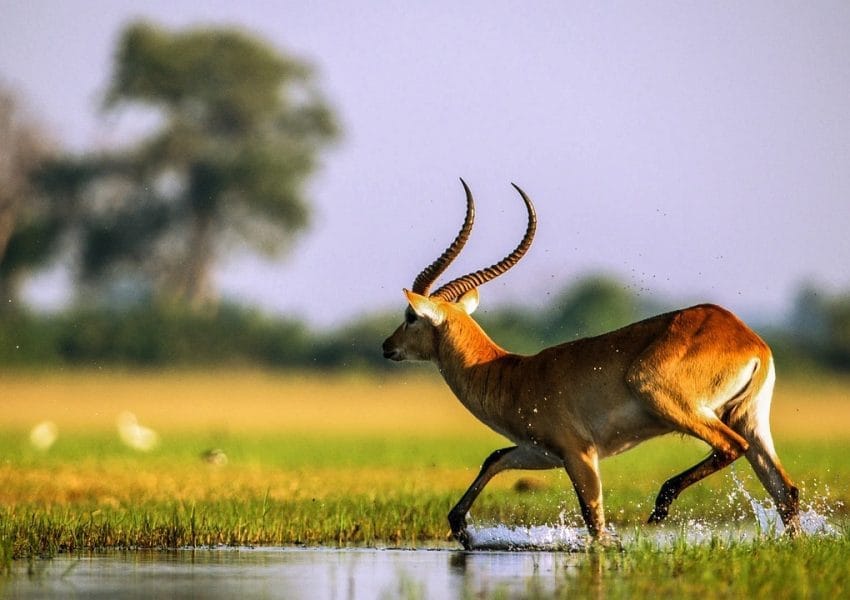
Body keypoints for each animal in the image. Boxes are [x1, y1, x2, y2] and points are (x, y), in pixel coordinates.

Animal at [380, 179, 800, 548]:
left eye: (410, 315)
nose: (387, 346)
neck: (511, 374)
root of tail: (748, 340)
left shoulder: (579, 453)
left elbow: (594, 520)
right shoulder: (540, 451)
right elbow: (494, 458)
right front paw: (461, 530)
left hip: (673, 402)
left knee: (731, 447)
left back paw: (661, 505)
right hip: (749, 418)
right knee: (785, 490)